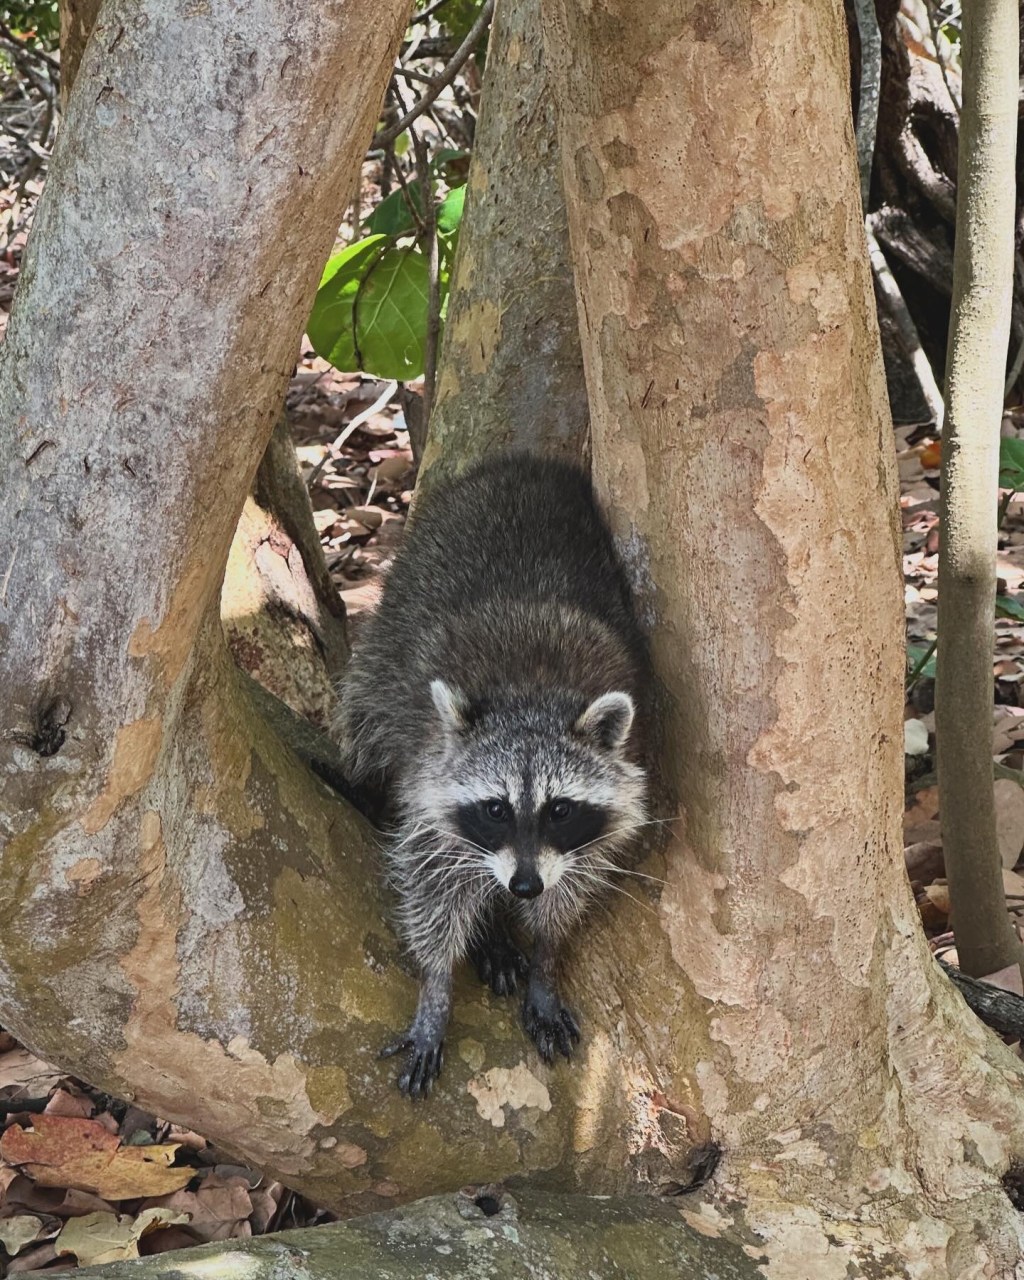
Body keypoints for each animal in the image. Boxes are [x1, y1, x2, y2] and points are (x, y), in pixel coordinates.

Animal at [338, 453, 649, 1097]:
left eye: (560, 809)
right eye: (496, 809)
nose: (524, 887)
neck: (531, 696)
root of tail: (525, 465)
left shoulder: (590, 828)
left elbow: (570, 892)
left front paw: (545, 956)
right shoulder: (427, 775)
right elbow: (430, 880)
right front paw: (437, 986)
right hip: (385, 647)